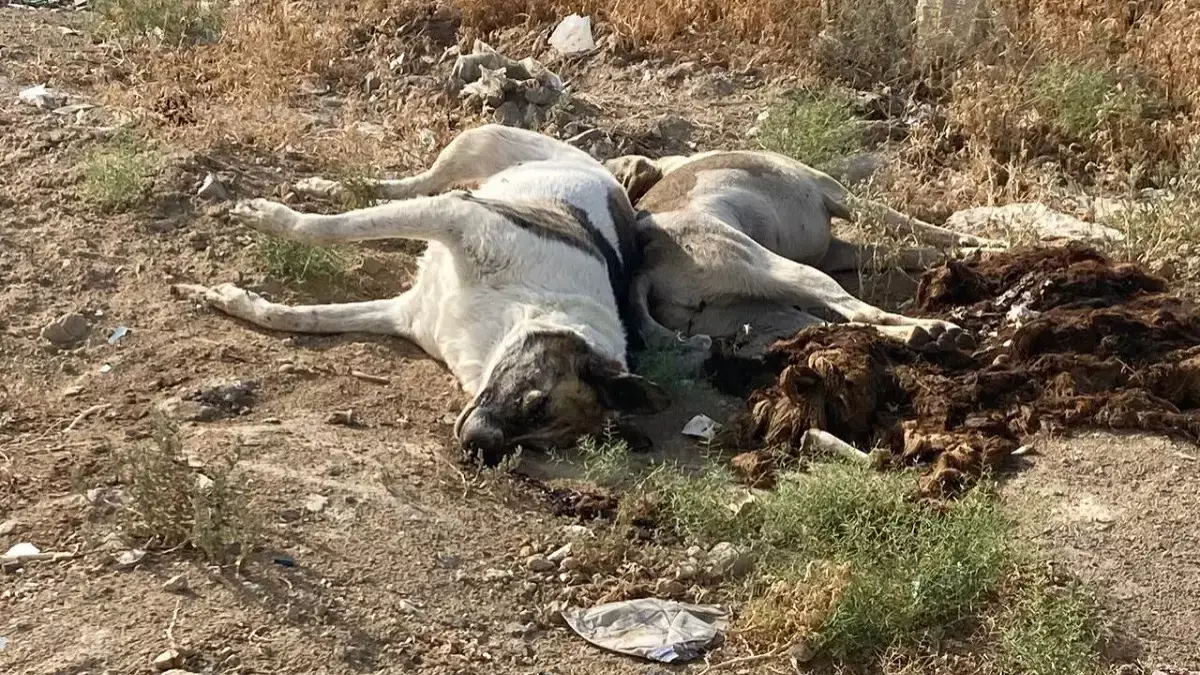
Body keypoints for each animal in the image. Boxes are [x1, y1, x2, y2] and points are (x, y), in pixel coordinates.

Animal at [175, 123, 667, 466]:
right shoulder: (457, 215)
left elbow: (300, 317)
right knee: (406, 186)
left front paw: (232, 299)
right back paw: (324, 187)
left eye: (541, 447)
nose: (477, 451)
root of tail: (607, 172)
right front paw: (272, 219)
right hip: (476, 143)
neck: (523, 314)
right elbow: (327, 227)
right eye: (535, 401)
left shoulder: (403, 315)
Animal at [600, 147, 1003, 357]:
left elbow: (903, 251)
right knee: (864, 313)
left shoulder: (835, 252)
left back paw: (924, 337)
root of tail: (647, 268)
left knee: (837, 326)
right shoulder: (843, 199)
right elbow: (921, 229)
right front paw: (990, 245)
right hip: (786, 270)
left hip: (764, 311)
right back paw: (934, 329)